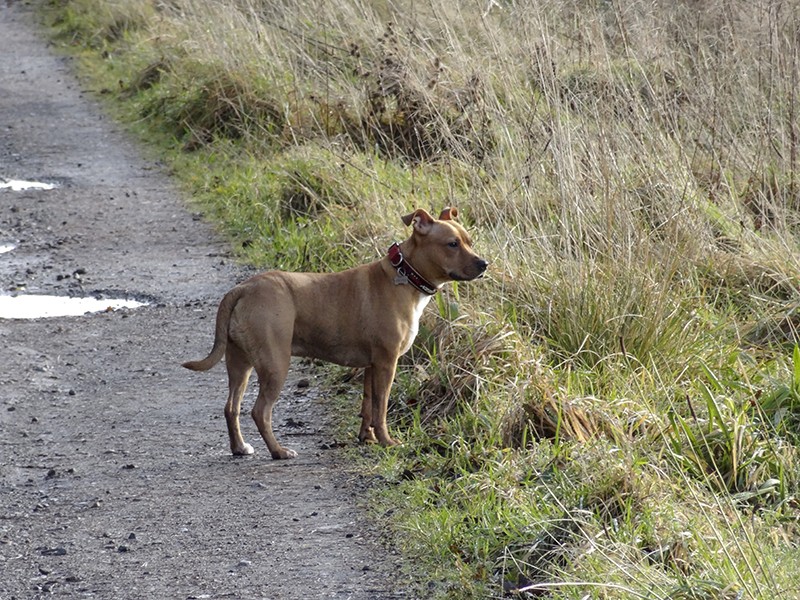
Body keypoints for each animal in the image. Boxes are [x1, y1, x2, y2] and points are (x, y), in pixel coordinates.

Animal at [184, 207, 484, 460]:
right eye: (452, 244)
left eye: (469, 240)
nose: (484, 264)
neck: (406, 274)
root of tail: (243, 288)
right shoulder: (386, 363)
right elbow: (381, 408)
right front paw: (387, 441)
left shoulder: (372, 365)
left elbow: (368, 404)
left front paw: (367, 437)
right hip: (275, 364)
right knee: (260, 411)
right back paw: (279, 451)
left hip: (239, 363)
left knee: (231, 407)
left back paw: (239, 447)